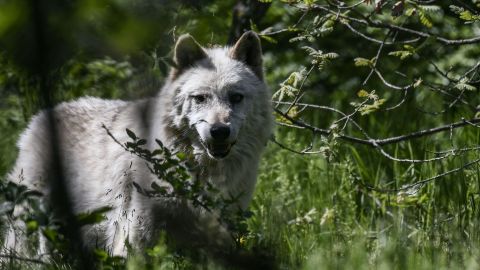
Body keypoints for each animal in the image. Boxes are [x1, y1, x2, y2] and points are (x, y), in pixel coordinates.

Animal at [2, 30, 274, 256]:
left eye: (236, 98)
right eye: (200, 98)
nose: (219, 131)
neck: (198, 172)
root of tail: (43, 115)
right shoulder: (135, 233)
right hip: (34, 211)